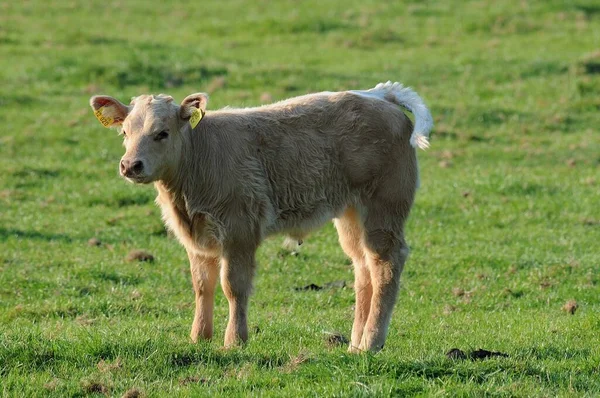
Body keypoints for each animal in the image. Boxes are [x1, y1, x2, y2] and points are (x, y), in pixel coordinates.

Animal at [90, 81, 432, 352]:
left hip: (384, 208)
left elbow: (233, 286)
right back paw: (355, 344)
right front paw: (199, 338)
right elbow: (202, 285)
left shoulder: (239, 231)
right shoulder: (198, 239)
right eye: (124, 131)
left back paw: (372, 342)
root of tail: (379, 95)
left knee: (385, 264)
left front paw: (234, 341)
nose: (130, 165)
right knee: (363, 268)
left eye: (161, 133)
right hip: (350, 214)